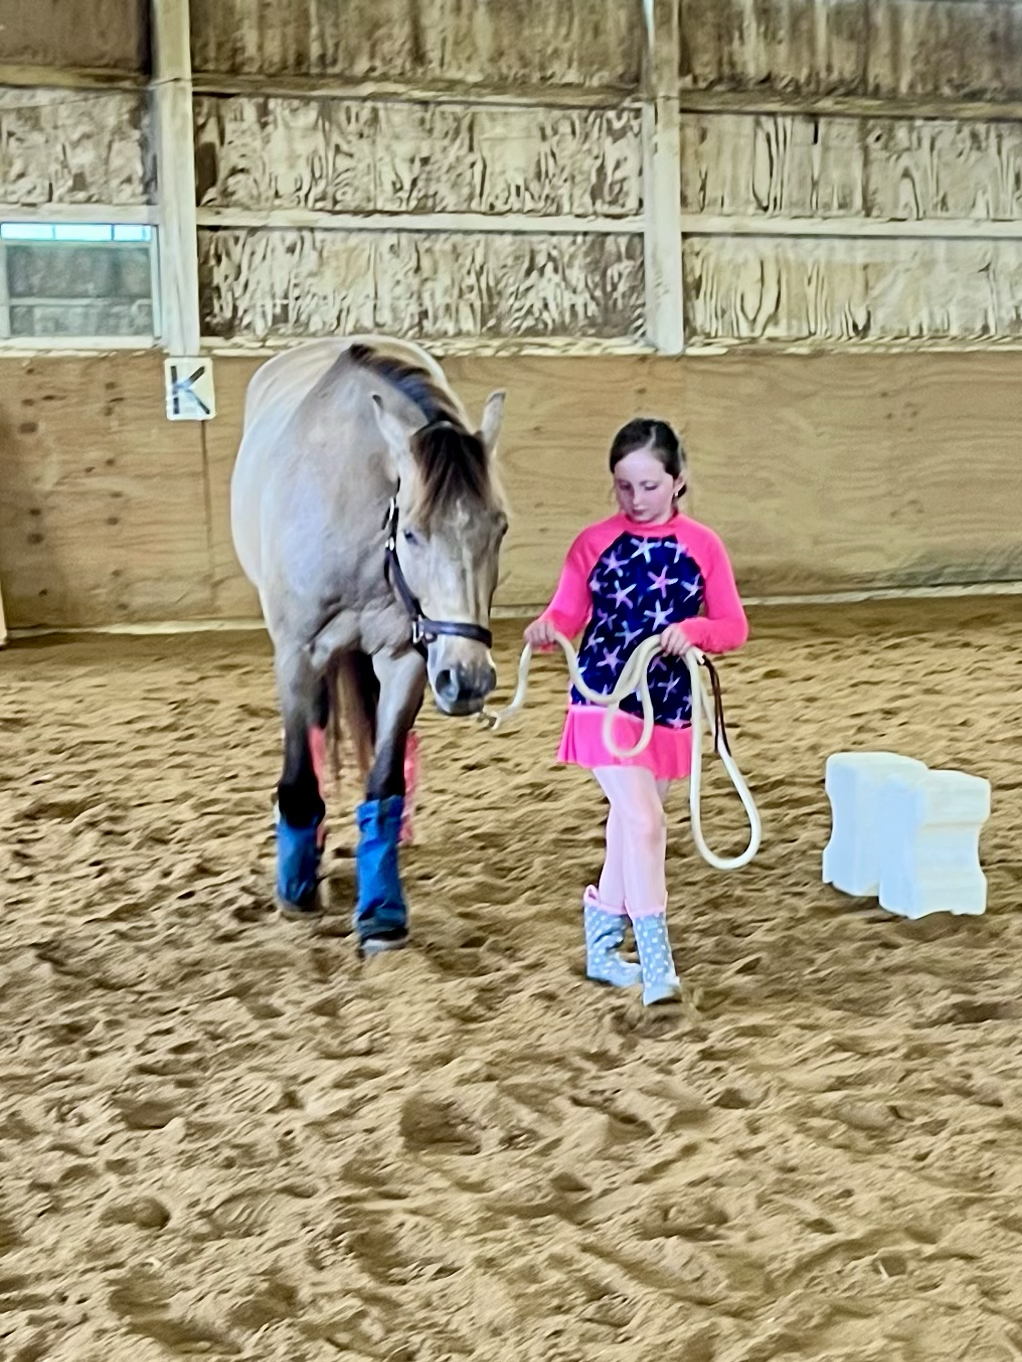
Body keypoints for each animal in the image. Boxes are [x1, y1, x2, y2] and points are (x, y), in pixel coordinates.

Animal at [230, 336, 508, 952]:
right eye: (412, 532)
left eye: (499, 527)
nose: (469, 679)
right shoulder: (297, 654)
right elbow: (298, 771)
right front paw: (296, 890)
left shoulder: (407, 658)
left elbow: (383, 780)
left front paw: (382, 911)